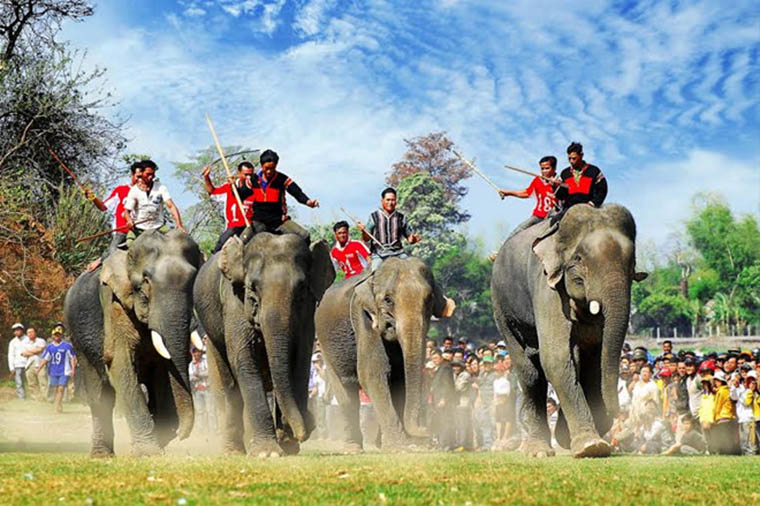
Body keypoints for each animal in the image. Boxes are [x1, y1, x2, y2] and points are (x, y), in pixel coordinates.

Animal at [63, 231, 203, 456]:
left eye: (193, 285)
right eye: (144, 293)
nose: (182, 435)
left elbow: (162, 373)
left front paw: (162, 438)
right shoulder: (114, 305)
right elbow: (120, 362)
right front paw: (148, 453)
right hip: (77, 336)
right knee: (100, 397)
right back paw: (102, 455)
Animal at [191, 233, 334, 458]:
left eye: (302, 288)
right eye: (252, 288)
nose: (306, 429)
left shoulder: (308, 314)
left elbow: (301, 360)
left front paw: (288, 441)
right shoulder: (234, 301)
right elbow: (244, 360)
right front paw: (267, 453)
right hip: (212, 339)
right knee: (229, 387)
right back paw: (234, 450)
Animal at [314, 256, 452, 450]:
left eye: (429, 299)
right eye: (388, 300)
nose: (429, 433)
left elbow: (400, 379)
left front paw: (406, 444)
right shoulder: (363, 319)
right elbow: (373, 373)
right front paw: (400, 446)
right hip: (325, 345)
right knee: (346, 394)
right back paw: (354, 448)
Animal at [492, 204, 648, 456]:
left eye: (632, 261)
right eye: (578, 258)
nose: (615, 414)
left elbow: (594, 361)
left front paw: (576, 439)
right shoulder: (547, 287)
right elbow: (556, 358)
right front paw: (591, 446)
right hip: (501, 306)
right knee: (530, 372)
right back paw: (538, 451)